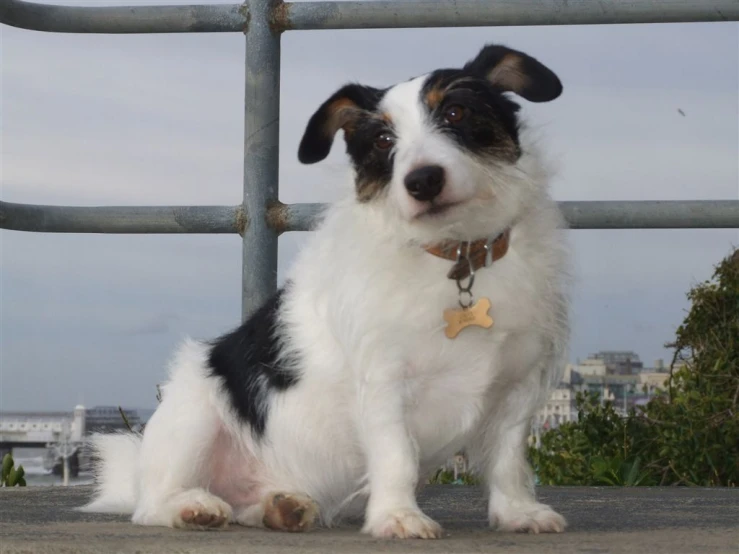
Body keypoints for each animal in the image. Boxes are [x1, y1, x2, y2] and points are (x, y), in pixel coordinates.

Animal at [84, 44, 572, 540]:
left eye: (456, 111)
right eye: (383, 140)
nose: (422, 181)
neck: (455, 255)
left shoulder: (518, 390)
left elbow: (508, 463)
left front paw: (518, 512)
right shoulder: (382, 384)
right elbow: (396, 456)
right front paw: (397, 516)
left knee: (246, 505)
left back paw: (280, 507)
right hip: (193, 417)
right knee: (152, 504)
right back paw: (191, 507)